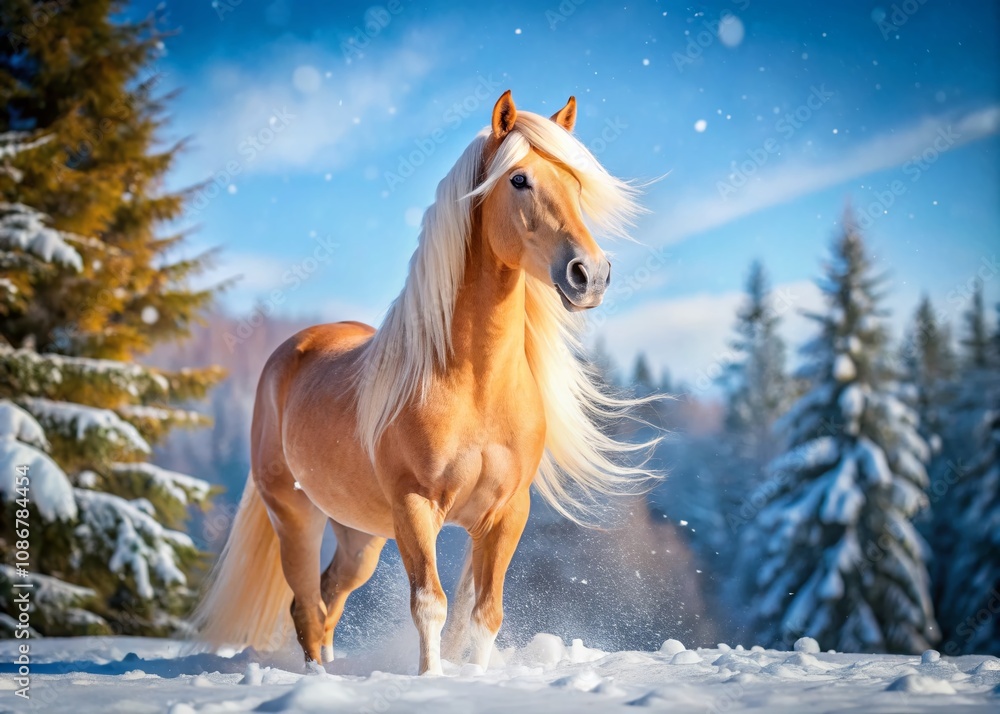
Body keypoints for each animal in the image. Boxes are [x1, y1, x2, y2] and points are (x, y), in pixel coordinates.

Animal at [194, 90, 656, 675]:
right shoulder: (416, 507)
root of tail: (292, 350)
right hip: (295, 515)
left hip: (361, 535)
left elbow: (484, 615)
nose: (590, 275)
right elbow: (430, 607)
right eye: (519, 179)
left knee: (328, 596)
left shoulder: (507, 514)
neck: (475, 383)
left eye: (576, 184)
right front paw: (431, 680)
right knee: (305, 605)